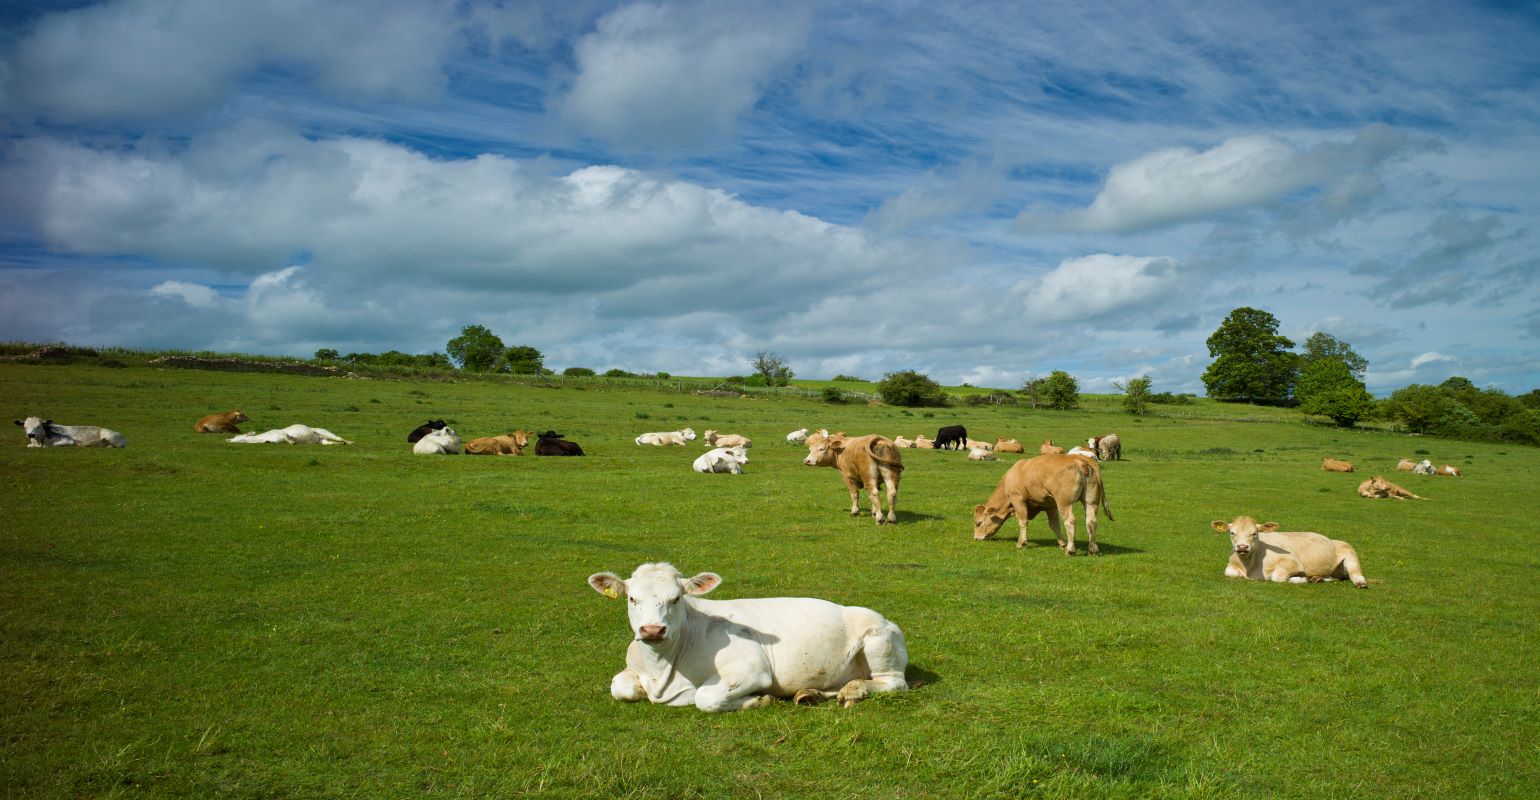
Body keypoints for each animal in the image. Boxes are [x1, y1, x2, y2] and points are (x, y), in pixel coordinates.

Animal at [585, 564, 899, 715]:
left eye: (676, 598)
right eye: (632, 598)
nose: (652, 630)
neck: (662, 672)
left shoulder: (751, 669)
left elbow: (705, 697)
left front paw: (759, 700)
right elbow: (620, 686)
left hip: (879, 642)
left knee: (893, 683)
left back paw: (855, 690)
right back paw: (812, 693)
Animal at [967, 453, 1114, 554]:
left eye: (978, 523)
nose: (976, 538)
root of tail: (1080, 460)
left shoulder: (1018, 499)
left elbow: (1023, 521)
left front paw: (1021, 542)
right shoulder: (1050, 506)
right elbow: (1054, 524)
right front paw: (1062, 543)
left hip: (1064, 503)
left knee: (1070, 521)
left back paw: (1071, 550)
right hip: (1090, 501)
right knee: (1091, 521)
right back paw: (1092, 549)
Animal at [1213, 517, 1373, 591]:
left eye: (1254, 533)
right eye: (1232, 532)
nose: (1242, 547)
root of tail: (1333, 540)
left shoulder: (1293, 563)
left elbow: (1277, 577)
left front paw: (1301, 579)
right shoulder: (1231, 565)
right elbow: (1230, 572)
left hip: (1350, 554)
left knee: (1356, 573)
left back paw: (1360, 584)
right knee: (1335, 577)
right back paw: (1317, 578)